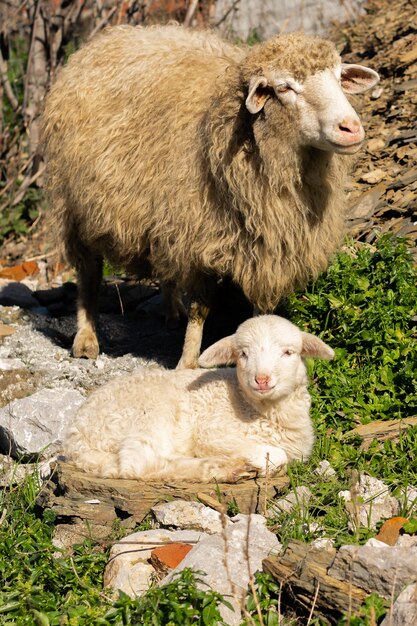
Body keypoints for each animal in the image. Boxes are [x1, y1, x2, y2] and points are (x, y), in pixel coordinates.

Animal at [40, 24, 378, 366]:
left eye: (339, 77)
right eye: (285, 88)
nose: (351, 127)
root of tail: (107, 38)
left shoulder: (265, 247)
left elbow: (260, 311)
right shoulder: (199, 236)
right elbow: (200, 308)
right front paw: (188, 362)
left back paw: (171, 312)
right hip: (78, 206)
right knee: (89, 273)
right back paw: (86, 338)